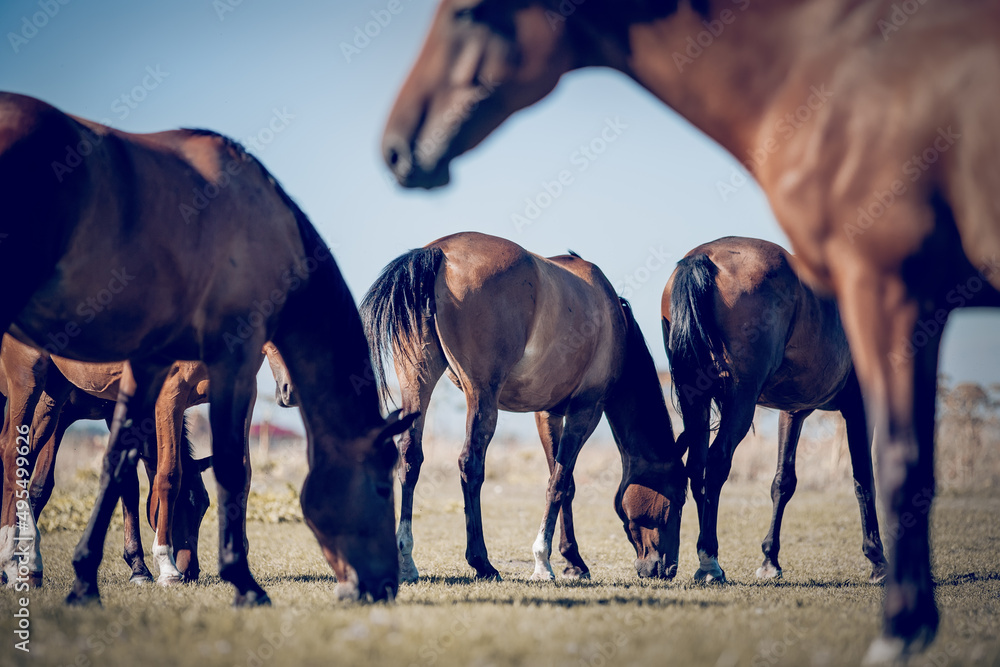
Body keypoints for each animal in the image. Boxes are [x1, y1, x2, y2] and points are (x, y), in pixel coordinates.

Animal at [0, 336, 290, 588]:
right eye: (180, 505)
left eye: (204, 506)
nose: (191, 571)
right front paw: (165, 569)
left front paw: (140, 569)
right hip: (35, 391)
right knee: (13, 454)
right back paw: (16, 563)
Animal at [360, 232, 688, 580]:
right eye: (680, 495)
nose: (666, 568)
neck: (614, 322)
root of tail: (438, 252)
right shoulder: (585, 411)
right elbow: (559, 482)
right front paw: (543, 562)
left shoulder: (547, 413)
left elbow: (565, 482)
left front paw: (573, 560)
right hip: (482, 395)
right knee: (470, 463)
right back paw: (481, 562)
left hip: (417, 382)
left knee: (410, 456)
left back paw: (406, 561)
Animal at [660, 237, 888, 588]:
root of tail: (703, 258)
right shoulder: (859, 407)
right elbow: (864, 480)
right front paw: (877, 559)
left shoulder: (792, 412)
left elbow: (783, 482)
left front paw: (770, 559)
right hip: (740, 400)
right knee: (716, 463)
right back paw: (710, 562)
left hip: (695, 400)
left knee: (697, 467)